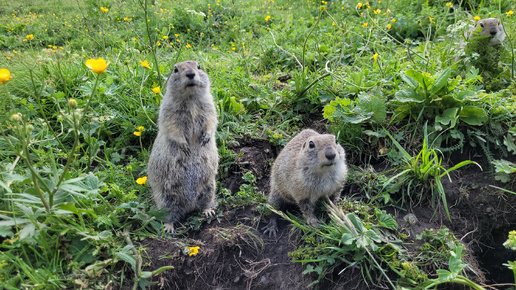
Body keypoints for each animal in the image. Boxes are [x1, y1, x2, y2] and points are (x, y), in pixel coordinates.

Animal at [147, 60, 218, 233]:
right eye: (175, 69)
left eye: (199, 66)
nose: (191, 74)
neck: (191, 98)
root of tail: (189, 206)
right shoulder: (168, 111)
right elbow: (173, 128)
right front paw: (184, 145)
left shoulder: (210, 107)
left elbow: (211, 121)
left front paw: (206, 138)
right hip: (165, 199)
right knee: (168, 215)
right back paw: (169, 227)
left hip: (209, 188)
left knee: (204, 204)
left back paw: (208, 211)